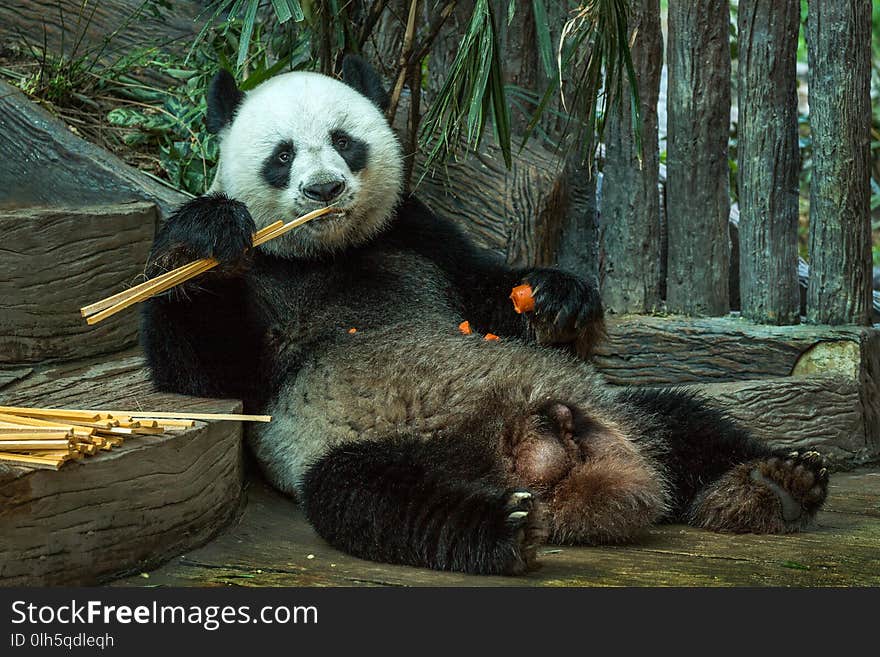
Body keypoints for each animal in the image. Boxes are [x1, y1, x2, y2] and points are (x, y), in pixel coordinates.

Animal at [141, 57, 828, 576]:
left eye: (344, 141)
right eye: (282, 156)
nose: (324, 191)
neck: (329, 251)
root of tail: (542, 456)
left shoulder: (419, 233)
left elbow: (488, 289)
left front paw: (559, 297)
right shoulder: (265, 285)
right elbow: (205, 375)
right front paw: (203, 236)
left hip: (613, 406)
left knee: (685, 420)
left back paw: (778, 483)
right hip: (387, 452)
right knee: (374, 498)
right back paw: (505, 528)